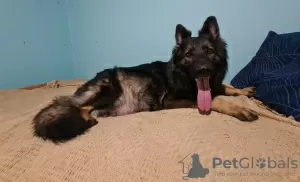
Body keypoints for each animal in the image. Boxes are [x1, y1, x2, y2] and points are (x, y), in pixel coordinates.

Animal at [32, 16, 258, 143]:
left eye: (209, 51)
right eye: (188, 55)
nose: (203, 70)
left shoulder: (214, 85)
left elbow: (225, 88)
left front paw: (244, 91)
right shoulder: (171, 100)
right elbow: (218, 100)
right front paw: (241, 109)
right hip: (109, 87)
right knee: (79, 107)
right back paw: (85, 119)